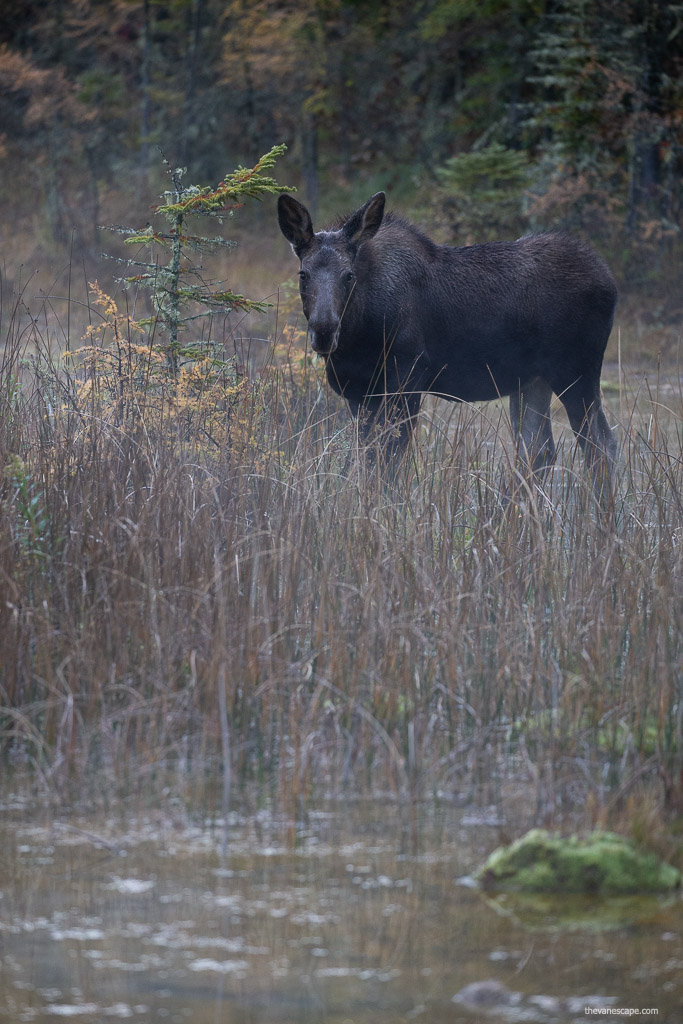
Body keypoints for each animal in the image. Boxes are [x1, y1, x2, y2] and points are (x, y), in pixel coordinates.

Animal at [274, 192, 618, 495]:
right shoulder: (360, 392)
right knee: (539, 450)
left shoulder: (407, 376)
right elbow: (366, 457)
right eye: (303, 274)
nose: (324, 330)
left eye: (348, 275)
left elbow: (388, 459)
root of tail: (610, 282)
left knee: (601, 445)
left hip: (575, 371)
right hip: (533, 379)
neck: (358, 335)